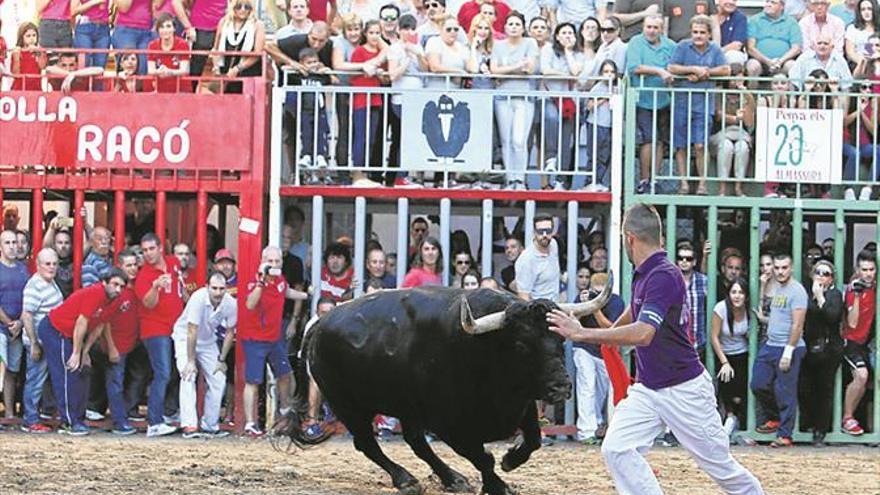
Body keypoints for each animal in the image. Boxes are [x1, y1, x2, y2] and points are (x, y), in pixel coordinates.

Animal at [282, 282, 612, 495]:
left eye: (559, 339)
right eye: (521, 345)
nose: (561, 386)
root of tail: (320, 323)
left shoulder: (523, 406)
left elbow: (532, 441)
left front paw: (509, 461)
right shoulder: (450, 426)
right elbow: (483, 457)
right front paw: (498, 485)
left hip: (405, 407)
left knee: (415, 441)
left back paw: (451, 478)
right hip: (348, 405)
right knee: (368, 443)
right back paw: (406, 480)